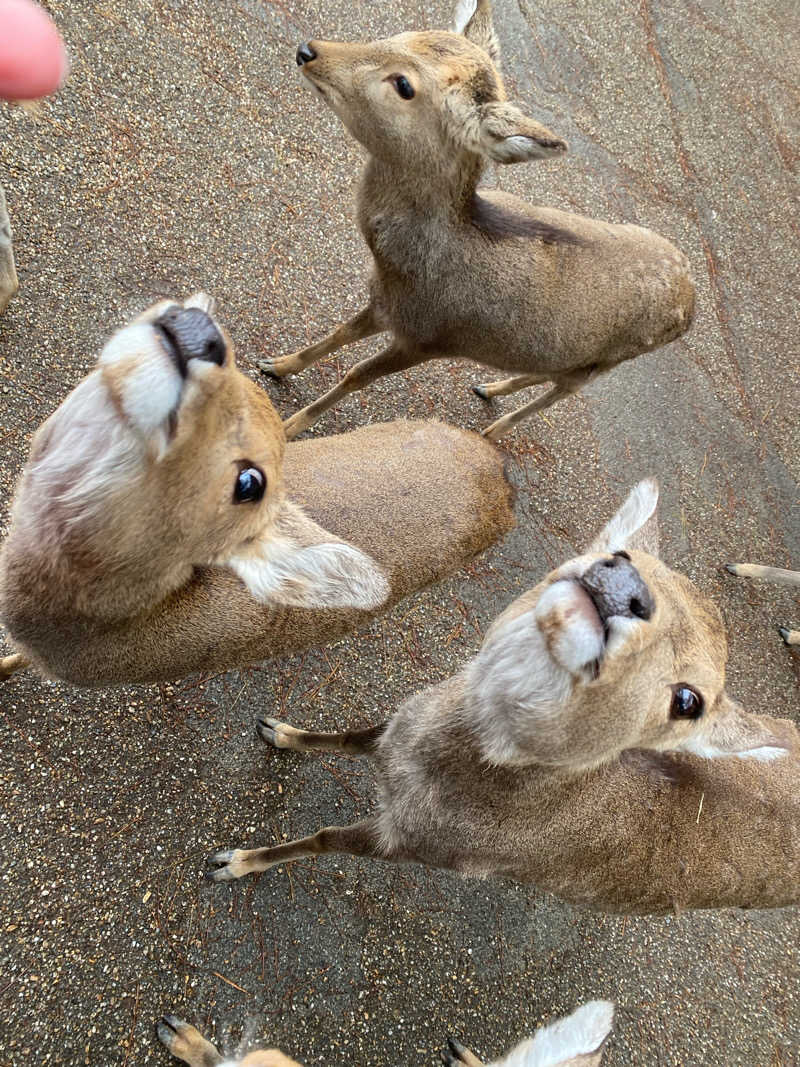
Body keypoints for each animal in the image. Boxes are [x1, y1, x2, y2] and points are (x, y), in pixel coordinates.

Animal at [208, 480, 800, 913]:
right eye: (622, 550)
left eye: (689, 701)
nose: (627, 586)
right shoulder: (394, 728)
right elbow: (353, 736)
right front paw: (279, 731)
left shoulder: (413, 845)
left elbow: (323, 838)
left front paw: (232, 861)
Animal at [261, 0, 695, 441]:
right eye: (400, 35)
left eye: (404, 84)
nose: (308, 51)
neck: (404, 270)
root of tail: (690, 297)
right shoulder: (384, 303)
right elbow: (340, 333)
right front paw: (275, 365)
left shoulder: (429, 338)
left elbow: (356, 375)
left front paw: (287, 427)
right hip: (572, 358)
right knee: (543, 373)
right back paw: (488, 388)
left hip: (602, 364)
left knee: (558, 393)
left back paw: (490, 433)